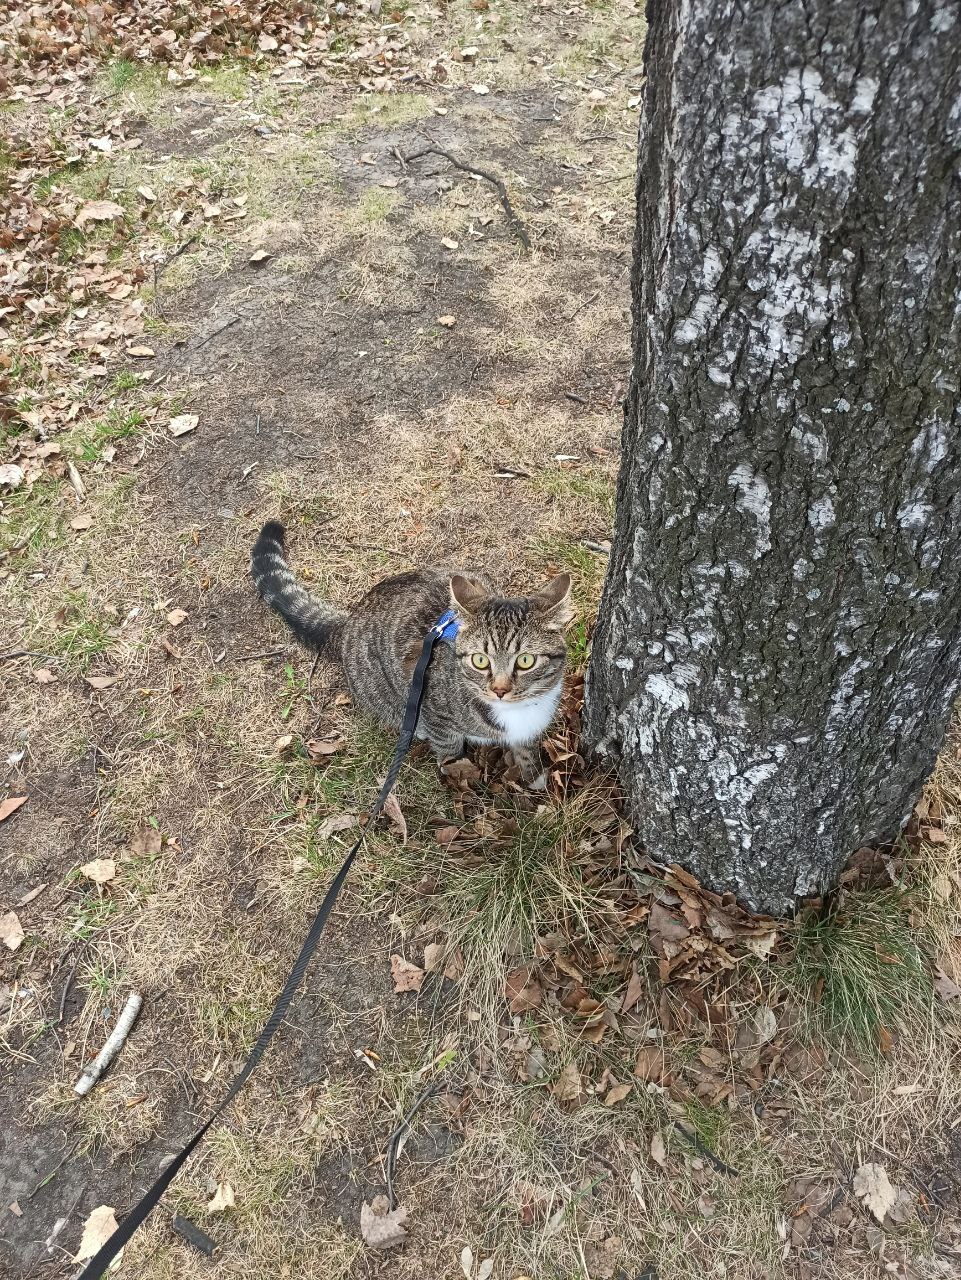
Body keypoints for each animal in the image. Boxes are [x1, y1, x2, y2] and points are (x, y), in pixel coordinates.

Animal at [252, 519, 575, 778]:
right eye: (480, 661)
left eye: (526, 660)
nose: (499, 690)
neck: (517, 712)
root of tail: (349, 620)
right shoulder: (434, 714)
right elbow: (449, 749)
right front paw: (458, 778)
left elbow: (527, 751)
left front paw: (535, 782)